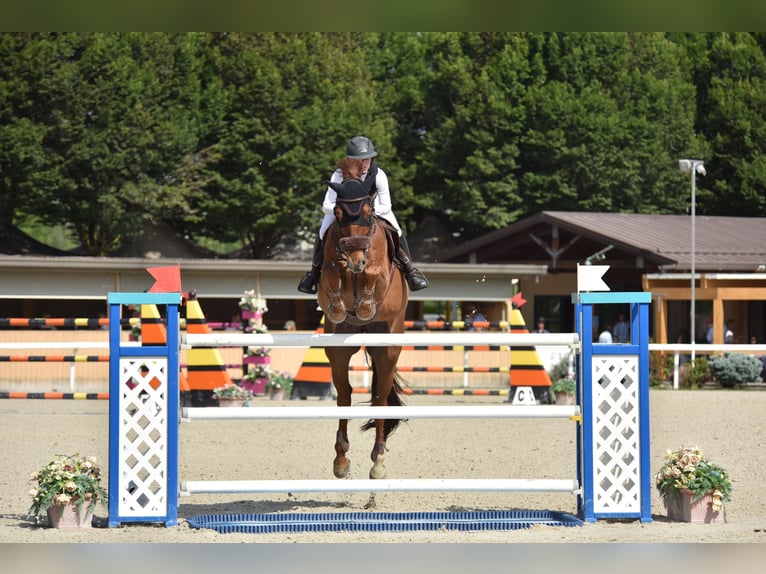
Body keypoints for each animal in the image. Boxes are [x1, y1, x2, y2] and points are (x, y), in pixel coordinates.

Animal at [316, 177, 408, 481]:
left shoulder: (381, 278)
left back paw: (378, 461)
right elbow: (332, 269)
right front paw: (338, 303)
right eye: (338, 213)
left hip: (387, 350)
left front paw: (365, 303)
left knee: (380, 399)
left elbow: (373, 273)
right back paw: (341, 459)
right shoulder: (328, 272)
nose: (356, 257)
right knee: (344, 396)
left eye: (369, 213)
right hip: (338, 351)